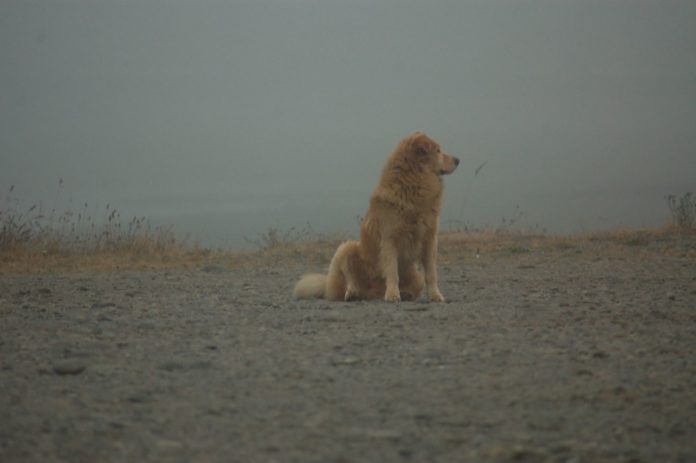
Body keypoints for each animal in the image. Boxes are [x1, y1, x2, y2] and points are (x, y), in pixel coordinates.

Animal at [292, 132, 460, 302]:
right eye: (438, 151)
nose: (458, 160)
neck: (414, 184)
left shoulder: (430, 239)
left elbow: (431, 274)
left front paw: (435, 295)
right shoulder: (389, 239)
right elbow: (392, 272)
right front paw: (392, 294)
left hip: (415, 277)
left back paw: (403, 293)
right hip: (346, 248)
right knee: (350, 279)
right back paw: (353, 293)